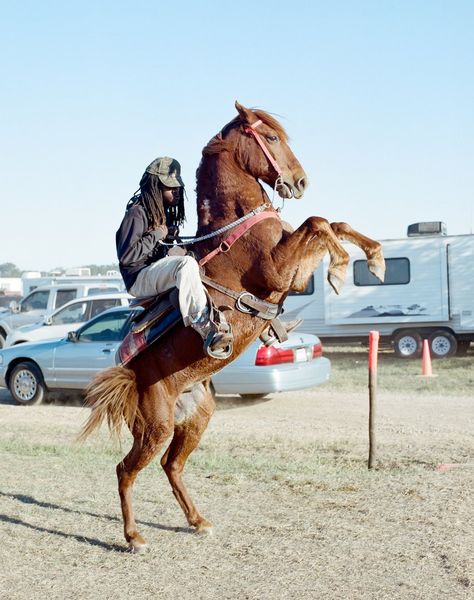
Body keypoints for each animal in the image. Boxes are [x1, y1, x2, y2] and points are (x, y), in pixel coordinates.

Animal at [80, 101, 386, 552]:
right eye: (272, 137)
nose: (301, 181)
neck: (239, 226)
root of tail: (131, 377)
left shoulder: (292, 274)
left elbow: (335, 223)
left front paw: (374, 257)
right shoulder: (281, 274)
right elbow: (318, 222)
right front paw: (341, 269)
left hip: (196, 418)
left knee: (171, 466)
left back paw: (198, 520)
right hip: (155, 426)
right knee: (126, 470)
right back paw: (134, 536)